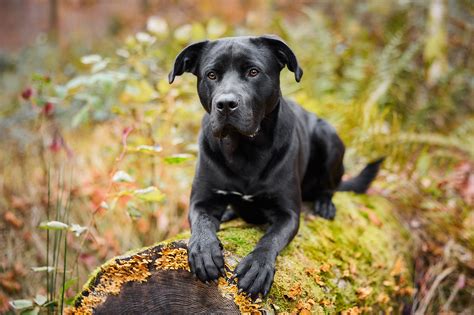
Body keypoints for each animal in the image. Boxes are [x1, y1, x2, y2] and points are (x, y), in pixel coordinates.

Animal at [168, 35, 384, 300]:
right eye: (211, 74)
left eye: (253, 71)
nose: (226, 104)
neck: (245, 149)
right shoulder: (202, 201)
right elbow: (201, 223)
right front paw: (203, 250)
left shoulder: (288, 213)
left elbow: (270, 239)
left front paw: (257, 266)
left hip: (327, 135)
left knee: (330, 185)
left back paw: (324, 203)